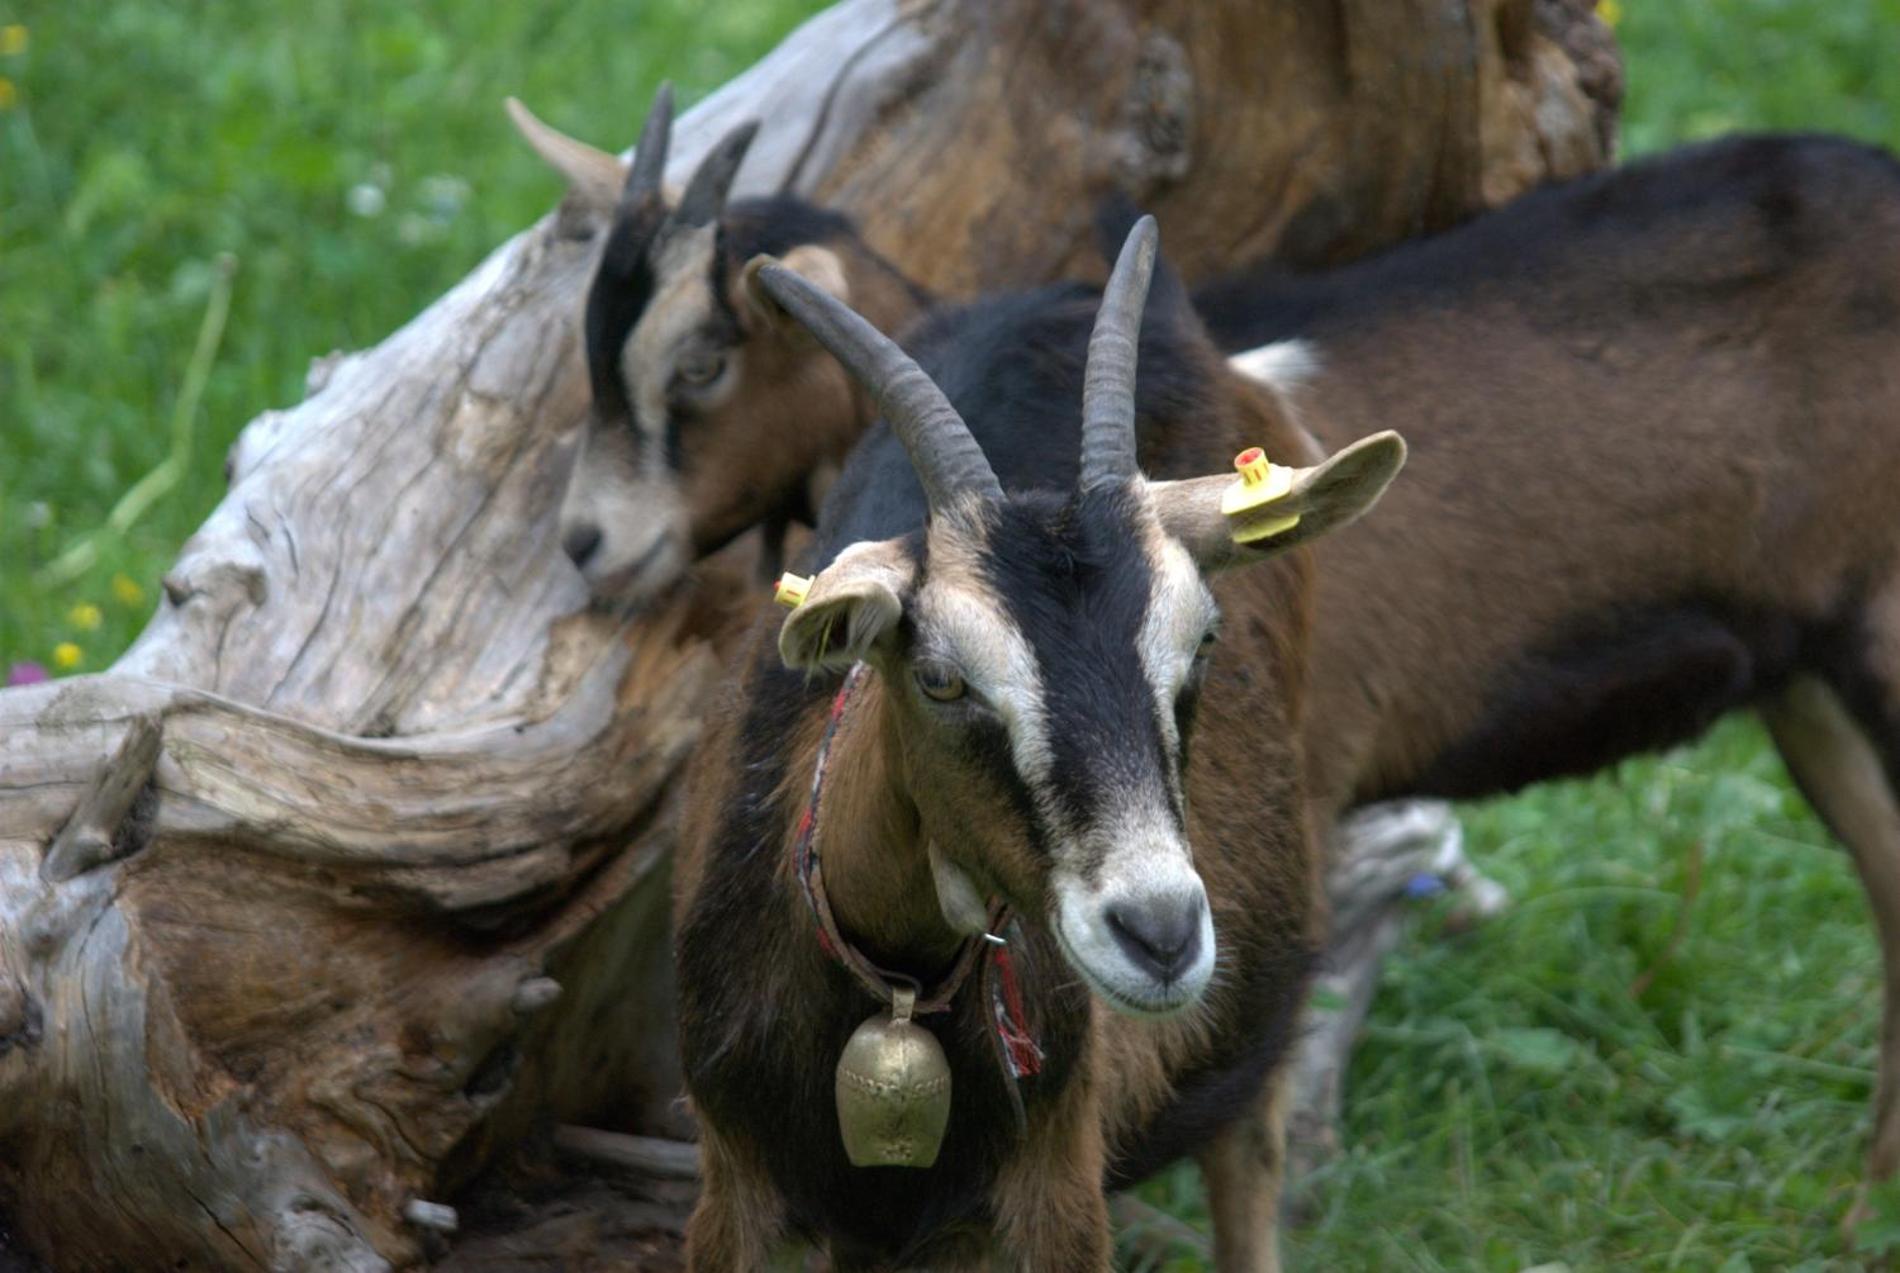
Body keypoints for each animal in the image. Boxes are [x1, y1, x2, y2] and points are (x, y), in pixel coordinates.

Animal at [668, 224, 1398, 1269]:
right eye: (939, 675)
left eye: (1203, 641)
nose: (1161, 935)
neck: (889, 988)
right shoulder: (734, 1190)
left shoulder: (1056, 1194)